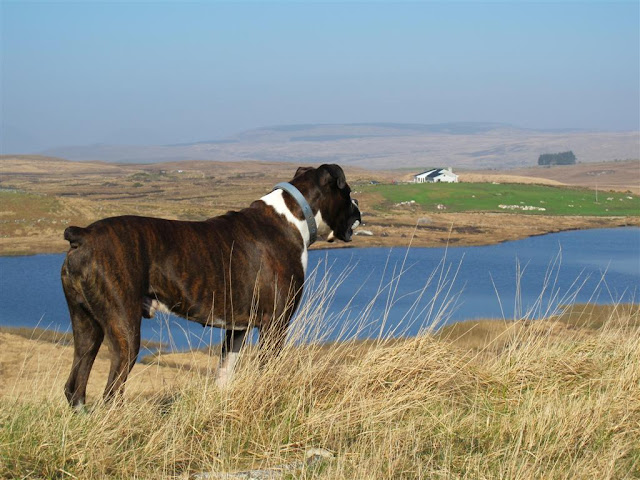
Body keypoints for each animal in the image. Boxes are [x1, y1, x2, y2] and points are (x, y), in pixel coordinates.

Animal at [60, 165, 360, 408]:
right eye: (348, 193)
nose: (357, 205)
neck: (293, 216)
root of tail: (83, 235)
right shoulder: (275, 325)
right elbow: (267, 370)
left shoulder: (236, 330)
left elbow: (225, 372)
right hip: (125, 330)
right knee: (111, 392)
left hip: (86, 327)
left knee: (75, 386)